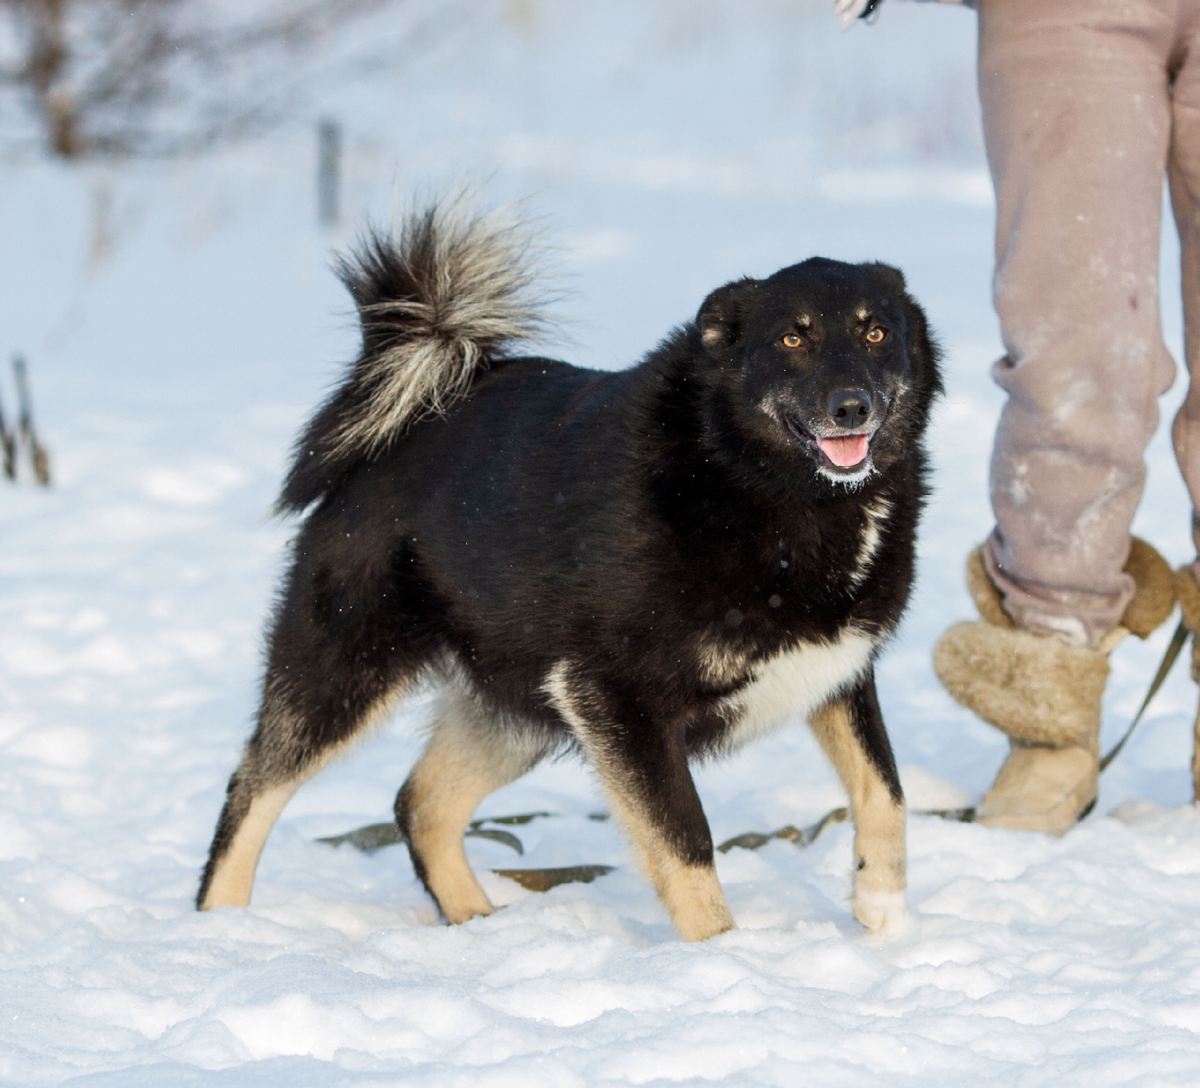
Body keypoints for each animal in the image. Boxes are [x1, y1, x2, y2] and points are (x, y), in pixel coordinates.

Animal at [196, 200, 940, 940]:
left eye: (876, 332)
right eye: (791, 339)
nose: (852, 406)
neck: (748, 480)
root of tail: (413, 401)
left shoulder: (837, 671)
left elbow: (887, 790)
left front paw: (881, 906)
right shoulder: (615, 698)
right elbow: (687, 844)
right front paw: (722, 954)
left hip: (515, 703)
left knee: (420, 804)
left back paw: (477, 924)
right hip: (345, 667)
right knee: (253, 788)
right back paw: (221, 928)